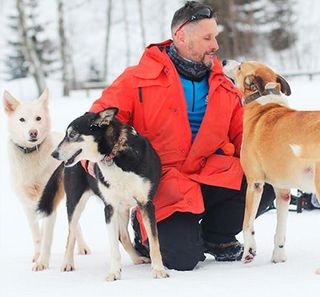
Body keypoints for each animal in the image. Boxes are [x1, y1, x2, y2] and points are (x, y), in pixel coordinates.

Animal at [37, 107, 169, 280]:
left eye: (72, 134)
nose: (54, 154)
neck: (114, 154)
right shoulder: (110, 208)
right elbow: (113, 245)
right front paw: (114, 272)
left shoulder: (145, 204)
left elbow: (154, 242)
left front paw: (158, 270)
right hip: (75, 203)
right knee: (71, 234)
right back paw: (67, 263)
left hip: (124, 208)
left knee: (123, 236)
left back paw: (137, 258)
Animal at [222, 60, 320, 272]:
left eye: (240, 66)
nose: (224, 61)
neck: (263, 103)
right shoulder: (282, 191)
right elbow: (280, 231)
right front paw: (278, 257)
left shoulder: (255, 183)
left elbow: (246, 222)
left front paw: (249, 252)